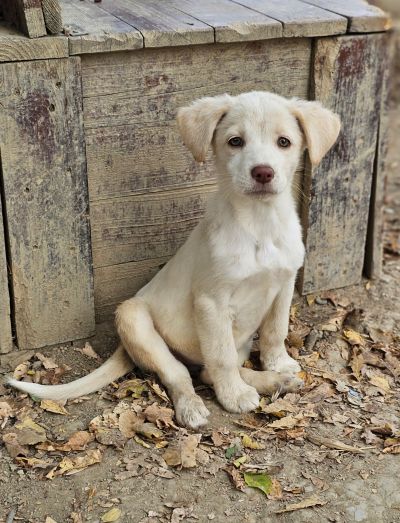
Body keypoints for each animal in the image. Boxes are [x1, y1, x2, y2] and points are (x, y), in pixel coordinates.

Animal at [8, 91, 340, 429]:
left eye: (284, 142)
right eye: (235, 141)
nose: (262, 172)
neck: (260, 224)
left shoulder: (284, 283)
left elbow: (276, 330)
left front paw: (279, 364)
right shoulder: (211, 302)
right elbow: (221, 358)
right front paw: (234, 395)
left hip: (240, 340)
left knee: (207, 371)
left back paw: (275, 381)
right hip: (133, 317)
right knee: (183, 373)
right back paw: (193, 406)